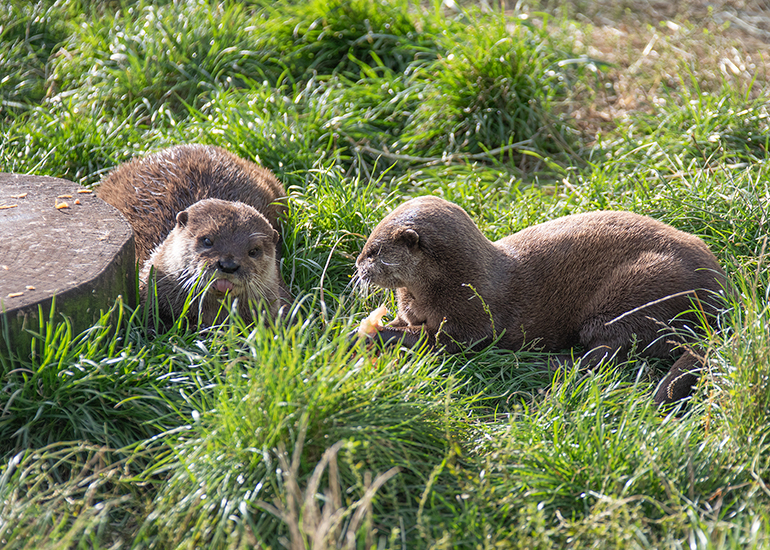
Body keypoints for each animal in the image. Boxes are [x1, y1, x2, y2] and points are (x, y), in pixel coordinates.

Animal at [355, 196, 728, 405]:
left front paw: (372, 334)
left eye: (374, 251)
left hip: (637, 292)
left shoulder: (470, 322)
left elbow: (435, 342)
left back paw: (537, 365)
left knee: (605, 354)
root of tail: (720, 293)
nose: (357, 265)